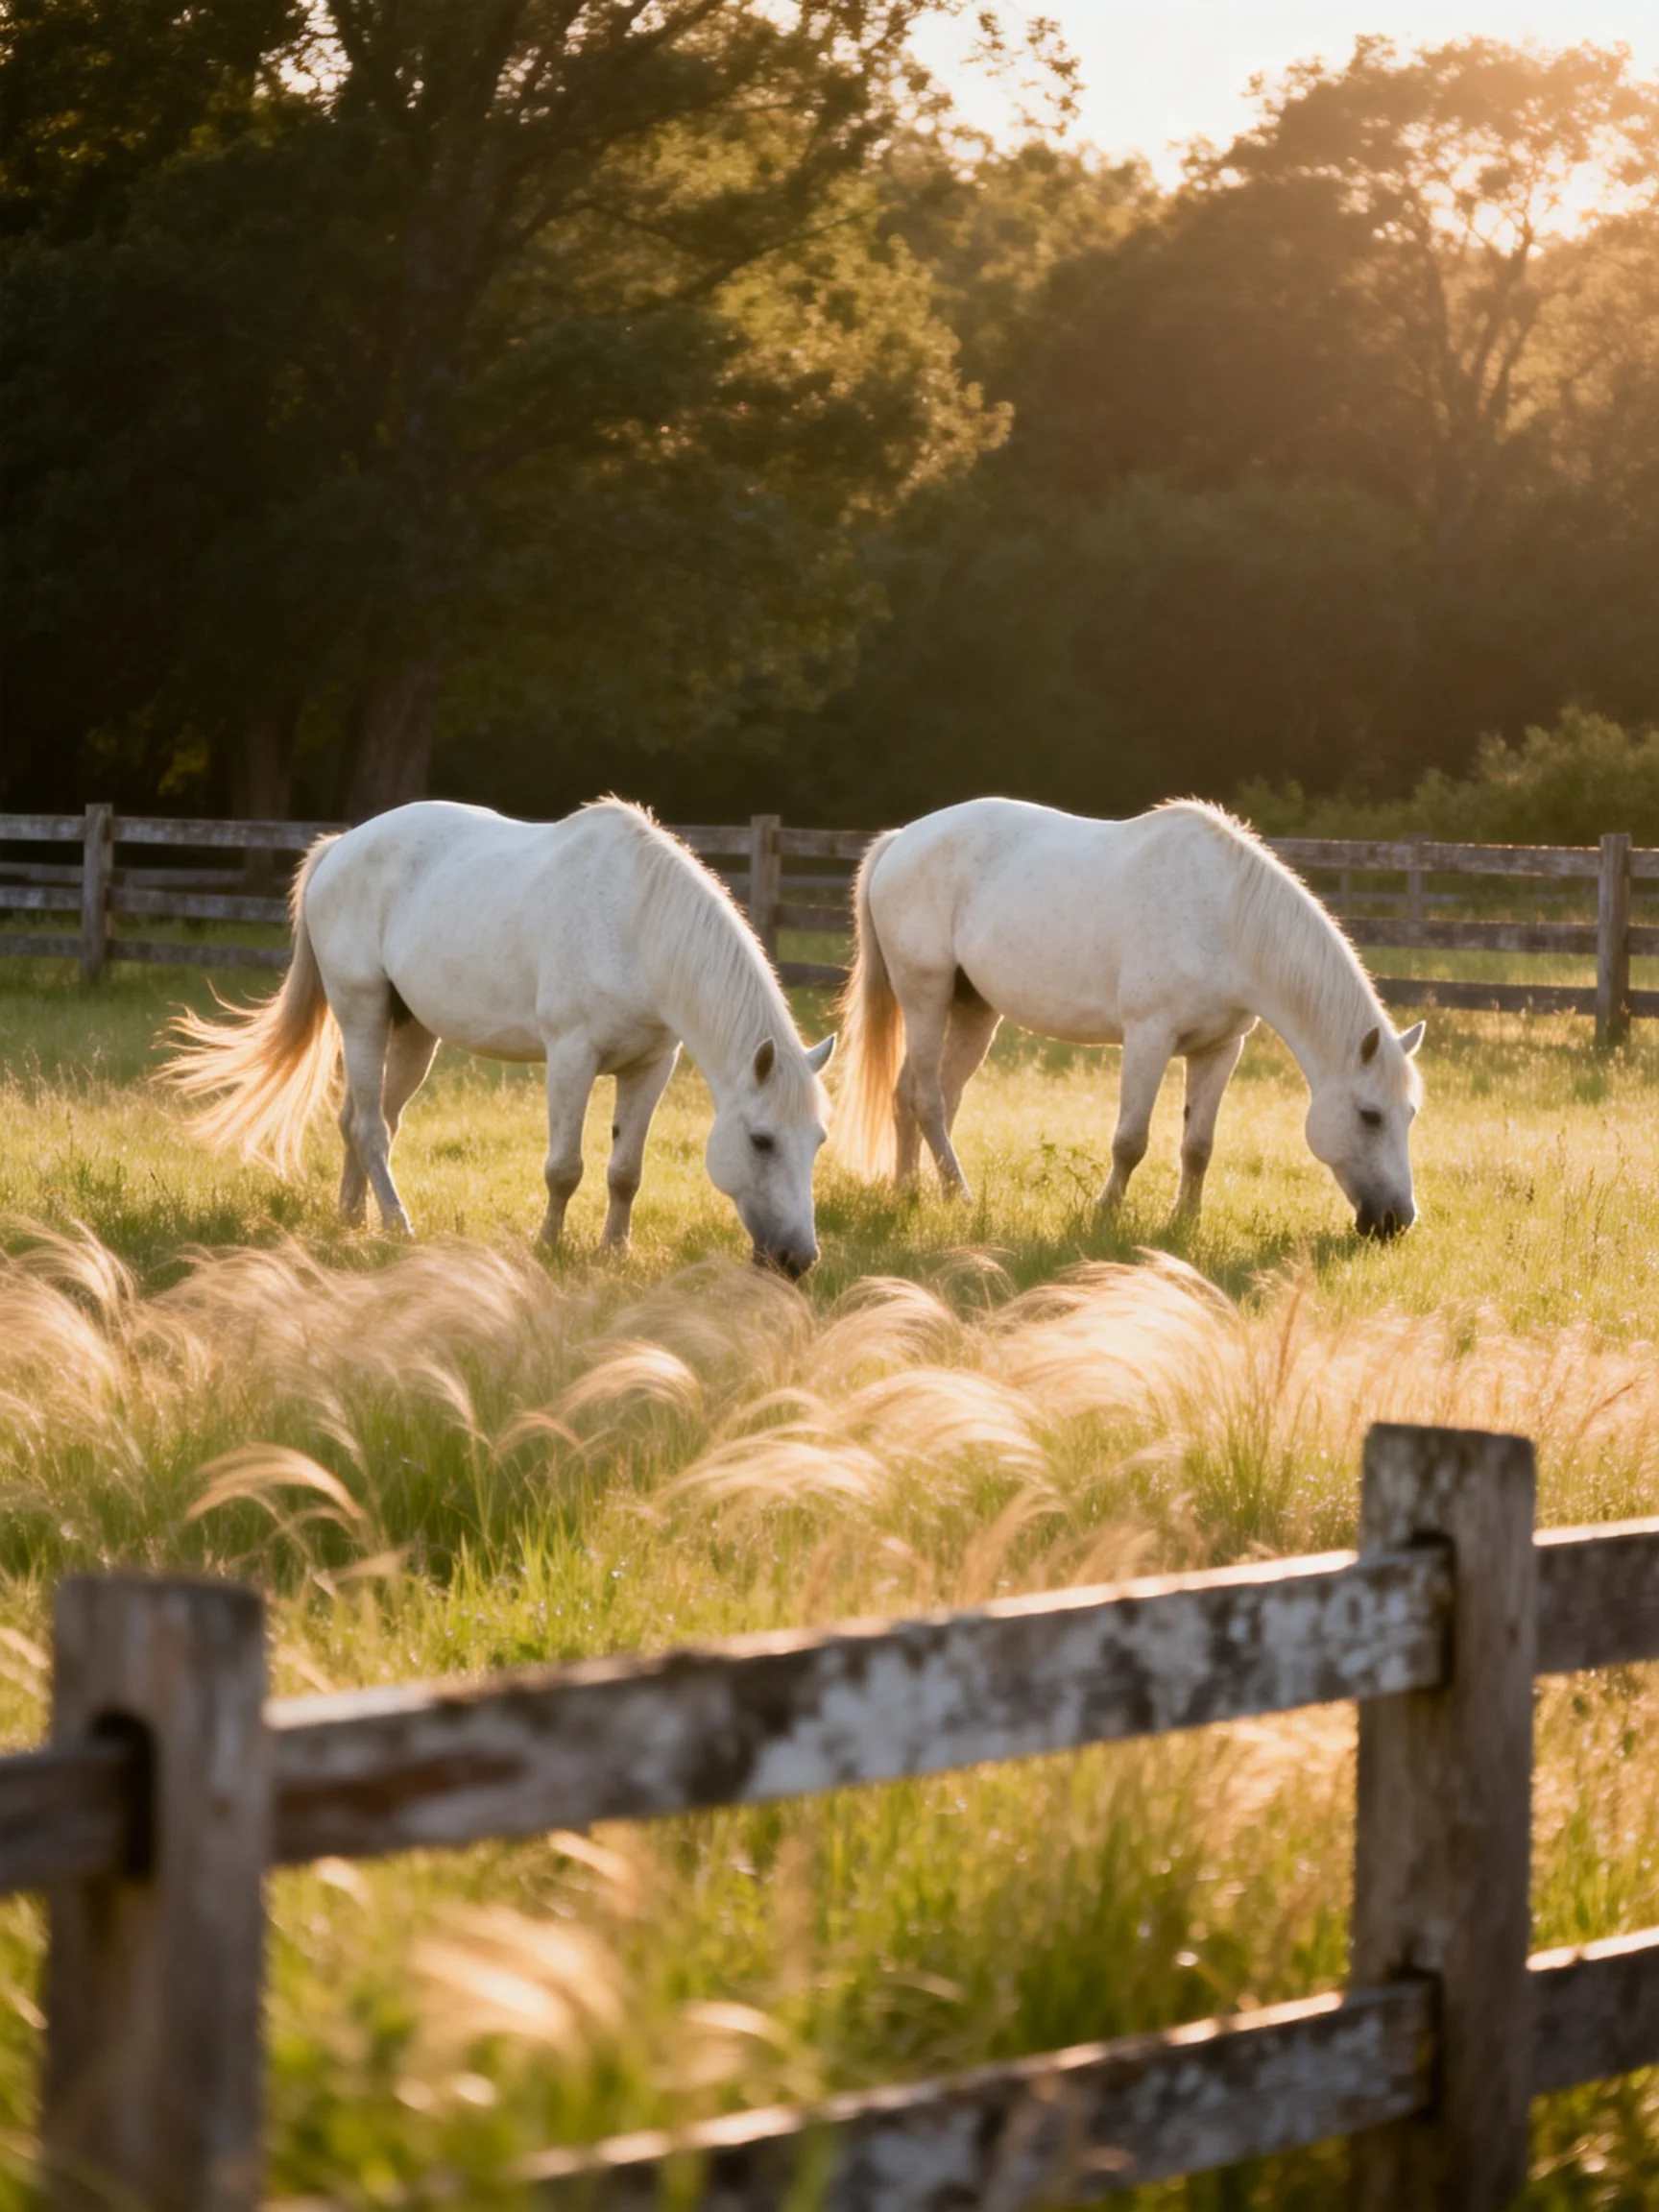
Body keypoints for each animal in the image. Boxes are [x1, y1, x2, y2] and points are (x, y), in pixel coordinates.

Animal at [163, 799, 835, 1274]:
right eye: (762, 1140)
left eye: (819, 1141)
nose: (798, 1260)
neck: (636, 923)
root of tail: (339, 848)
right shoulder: (571, 1057)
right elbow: (565, 1167)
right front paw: (549, 1248)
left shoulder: (652, 1064)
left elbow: (625, 1170)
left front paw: (614, 1254)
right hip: (362, 1014)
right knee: (371, 1127)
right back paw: (397, 1226)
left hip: (412, 1033)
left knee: (362, 1118)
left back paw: (352, 1222)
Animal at [834, 797, 1423, 1237]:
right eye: (1370, 1115)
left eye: (1411, 1114)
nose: (1396, 1221)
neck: (1226, 919)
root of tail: (901, 840)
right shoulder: (1148, 1037)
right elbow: (1130, 1140)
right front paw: (1105, 1213)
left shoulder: (1219, 1049)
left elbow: (1198, 1146)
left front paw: (1184, 1221)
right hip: (925, 997)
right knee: (927, 1098)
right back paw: (958, 1195)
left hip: (974, 1010)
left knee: (923, 1094)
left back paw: (913, 1190)